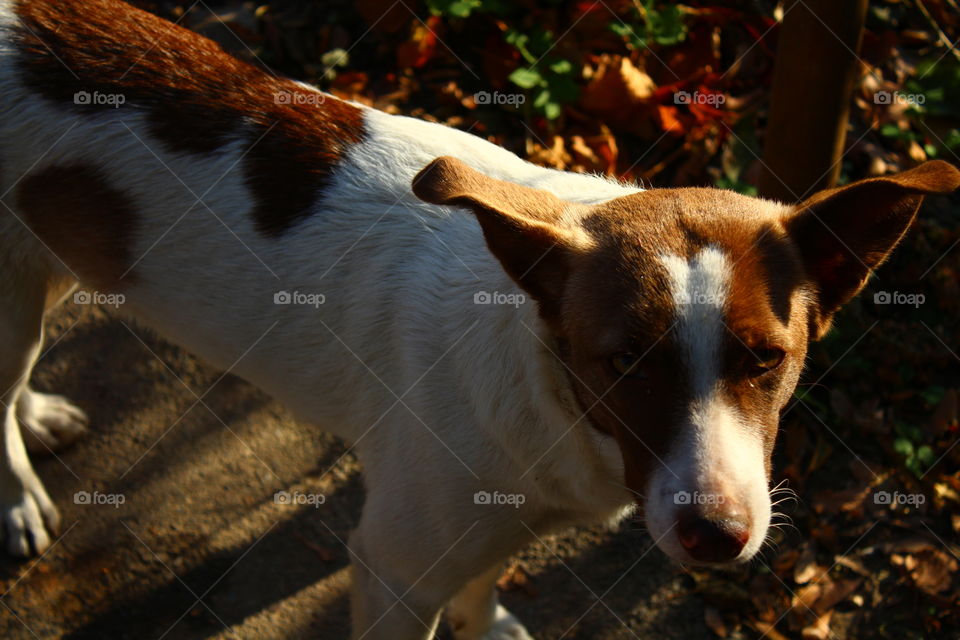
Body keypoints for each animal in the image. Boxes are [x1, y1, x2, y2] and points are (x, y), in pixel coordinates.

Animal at [0, 0, 956, 636]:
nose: (717, 537)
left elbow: (487, 571)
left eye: (767, 358)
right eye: (624, 362)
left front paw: (485, 620)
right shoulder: (392, 570)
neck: (551, 400)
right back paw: (16, 500)